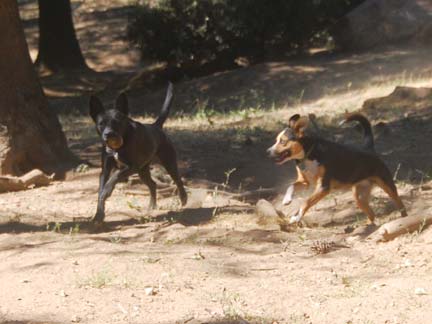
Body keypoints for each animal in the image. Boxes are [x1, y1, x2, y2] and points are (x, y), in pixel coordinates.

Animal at [88, 83, 186, 223]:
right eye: (101, 124)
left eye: (116, 122)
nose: (108, 134)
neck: (118, 147)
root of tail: (156, 126)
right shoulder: (105, 170)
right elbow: (100, 191)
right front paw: (98, 215)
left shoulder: (132, 166)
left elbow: (116, 175)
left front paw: (107, 191)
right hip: (142, 170)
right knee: (153, 184)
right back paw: (152, 206)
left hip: (168, 162)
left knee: (178, 179)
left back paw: (183, 198)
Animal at [268, 114, 406, 225]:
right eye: (276, 140)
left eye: (283, 141)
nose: (268, 151)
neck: (308, 155)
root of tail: (368, 148)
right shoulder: (305, 182)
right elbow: (291, 186)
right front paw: (287, 200)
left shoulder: (323, 187)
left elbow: (306, 202)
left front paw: (297, 217)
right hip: (359, 196)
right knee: (371, 214)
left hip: (387, 185)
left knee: (400, 204)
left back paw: (404, 219)